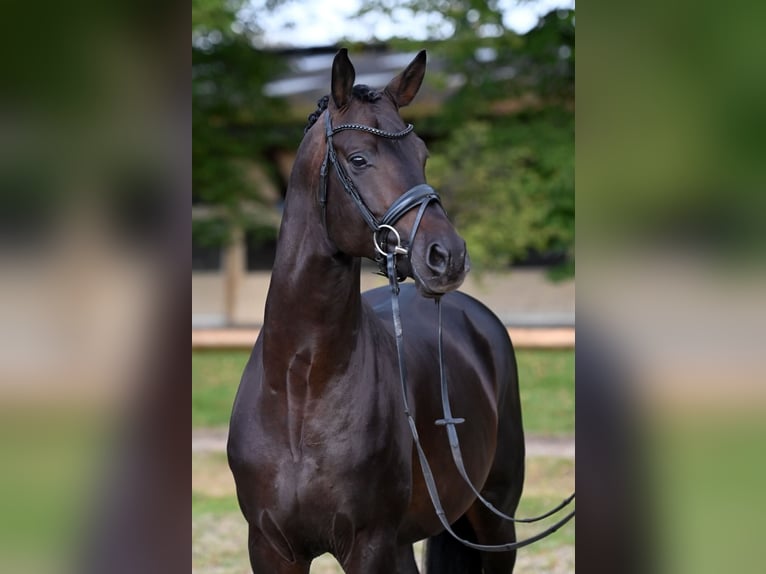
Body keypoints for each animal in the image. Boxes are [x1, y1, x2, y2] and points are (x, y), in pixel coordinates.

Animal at [228, 49, 528, 574]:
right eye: (359, 159)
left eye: (422, 155)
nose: (447, 256)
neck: (301, 387)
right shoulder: (269, 547)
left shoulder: (369, 545)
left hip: (494, 521)